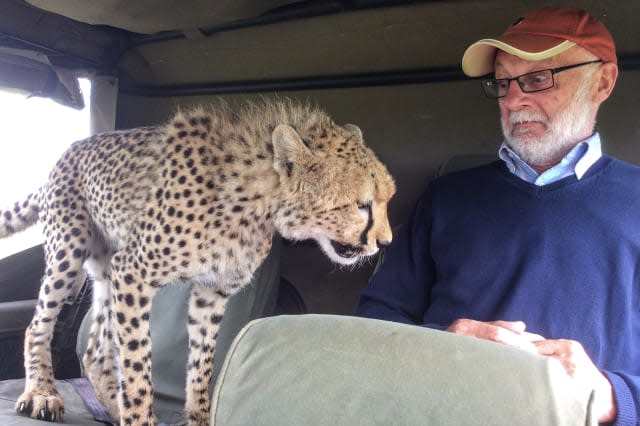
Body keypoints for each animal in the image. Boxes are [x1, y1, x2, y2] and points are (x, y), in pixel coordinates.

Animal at [0, 100, 396, 426]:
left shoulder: (211, 292)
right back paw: (42, 393)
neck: (257, 200)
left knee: (96, 348)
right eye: (361, 205)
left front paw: (197, 417)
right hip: (69, 252)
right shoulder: (133, 272)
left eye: (386, 200)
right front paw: (139, 417)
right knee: (38, 324)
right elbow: (137, 364)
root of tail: (72, 148)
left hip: (104, 269)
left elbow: (201, 367)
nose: (386, 242)